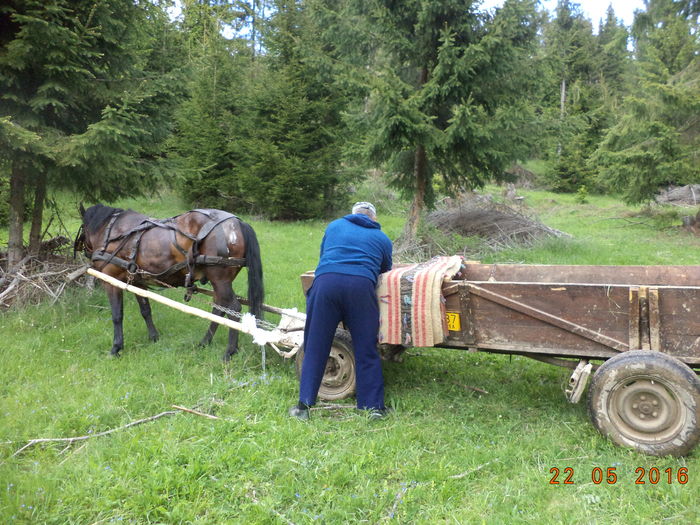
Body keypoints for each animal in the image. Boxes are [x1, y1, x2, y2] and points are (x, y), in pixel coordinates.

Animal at [74, 203, 262, 358]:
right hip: (218, 282)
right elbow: (145, 310)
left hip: (220, 280)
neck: (111, 230)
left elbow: (117, 315)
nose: (84, 251)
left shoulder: (111, 280)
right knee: (219, 308)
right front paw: (153, 337)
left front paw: (116, 348)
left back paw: (229, 351)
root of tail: (237, 223)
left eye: (82, 228)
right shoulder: (137, 281)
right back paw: (204, 342)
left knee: (233, 308)